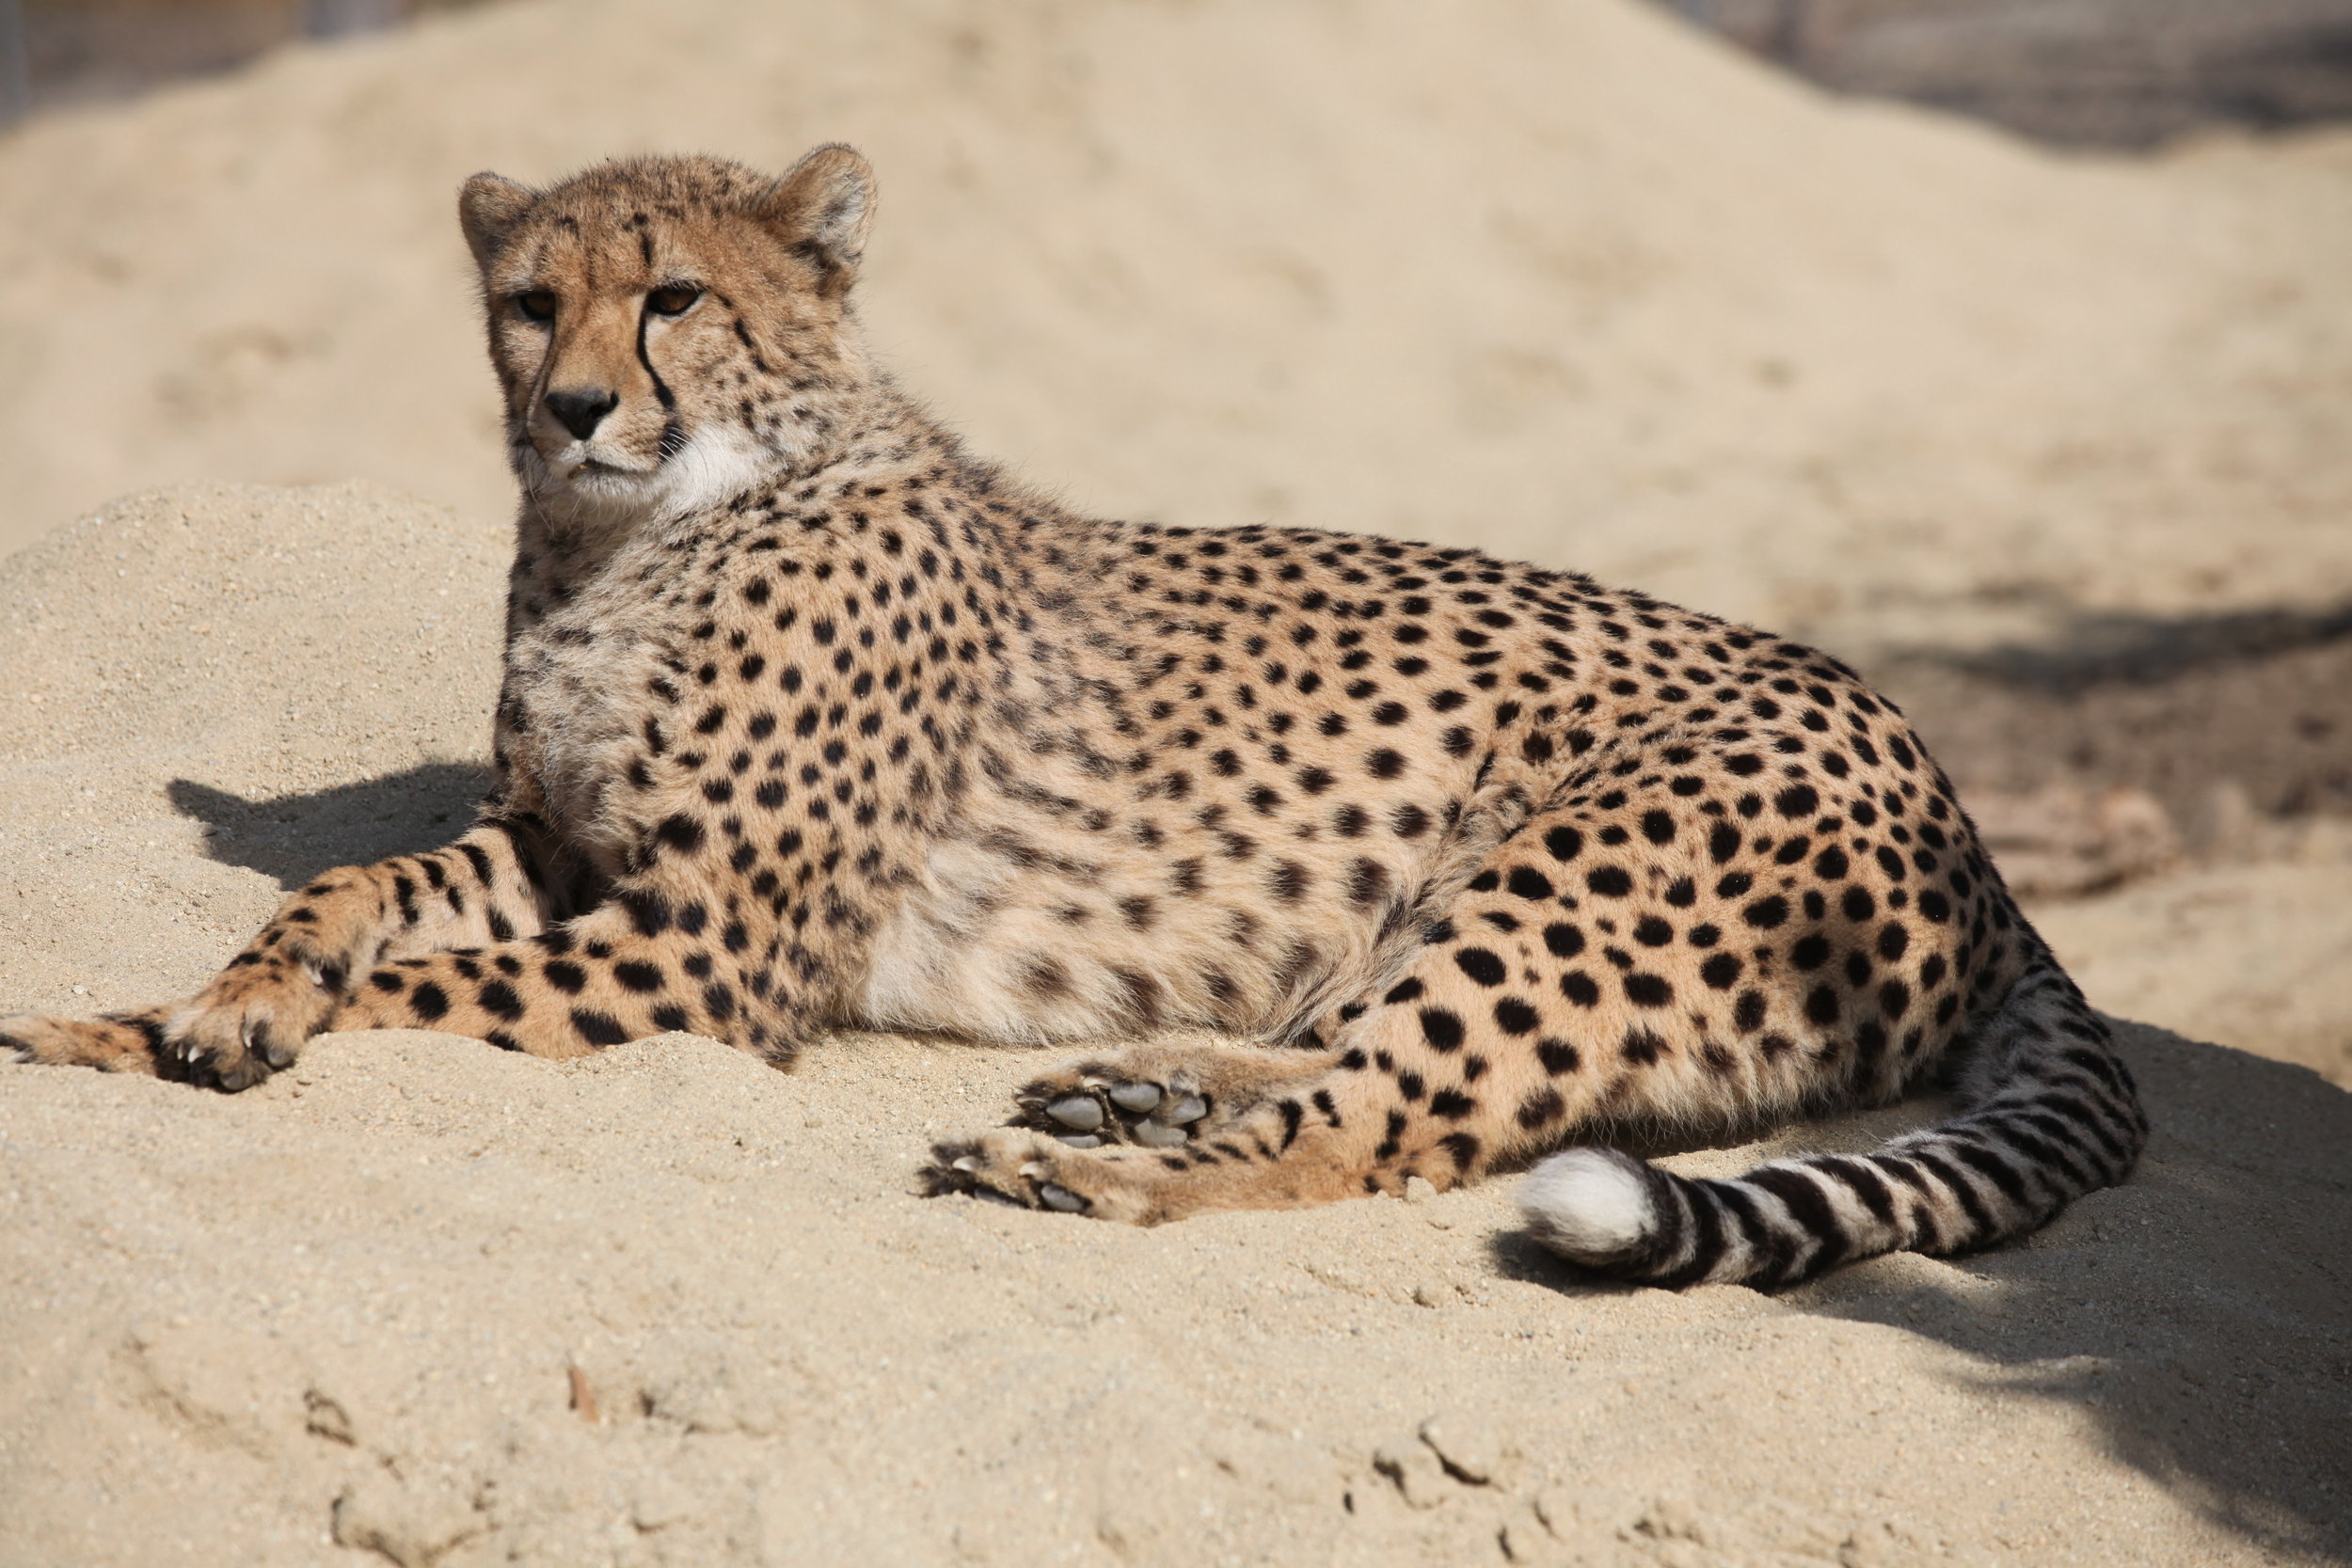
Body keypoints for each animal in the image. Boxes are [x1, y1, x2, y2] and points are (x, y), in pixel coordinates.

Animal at [0, 147, 2145, 1288]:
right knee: (1352, 1052)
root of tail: (1955, 799)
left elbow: (415, 990)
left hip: (1570, 881)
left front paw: (152, 1029)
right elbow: (346, 891)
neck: (633, 535)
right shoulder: (559, 841)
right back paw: (1137, 1086)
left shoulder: (707, 952)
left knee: (1398, 1122)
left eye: (674, 298)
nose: (578, 406)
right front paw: (188, 1001)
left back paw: (1095, 1169)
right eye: (533, 302)